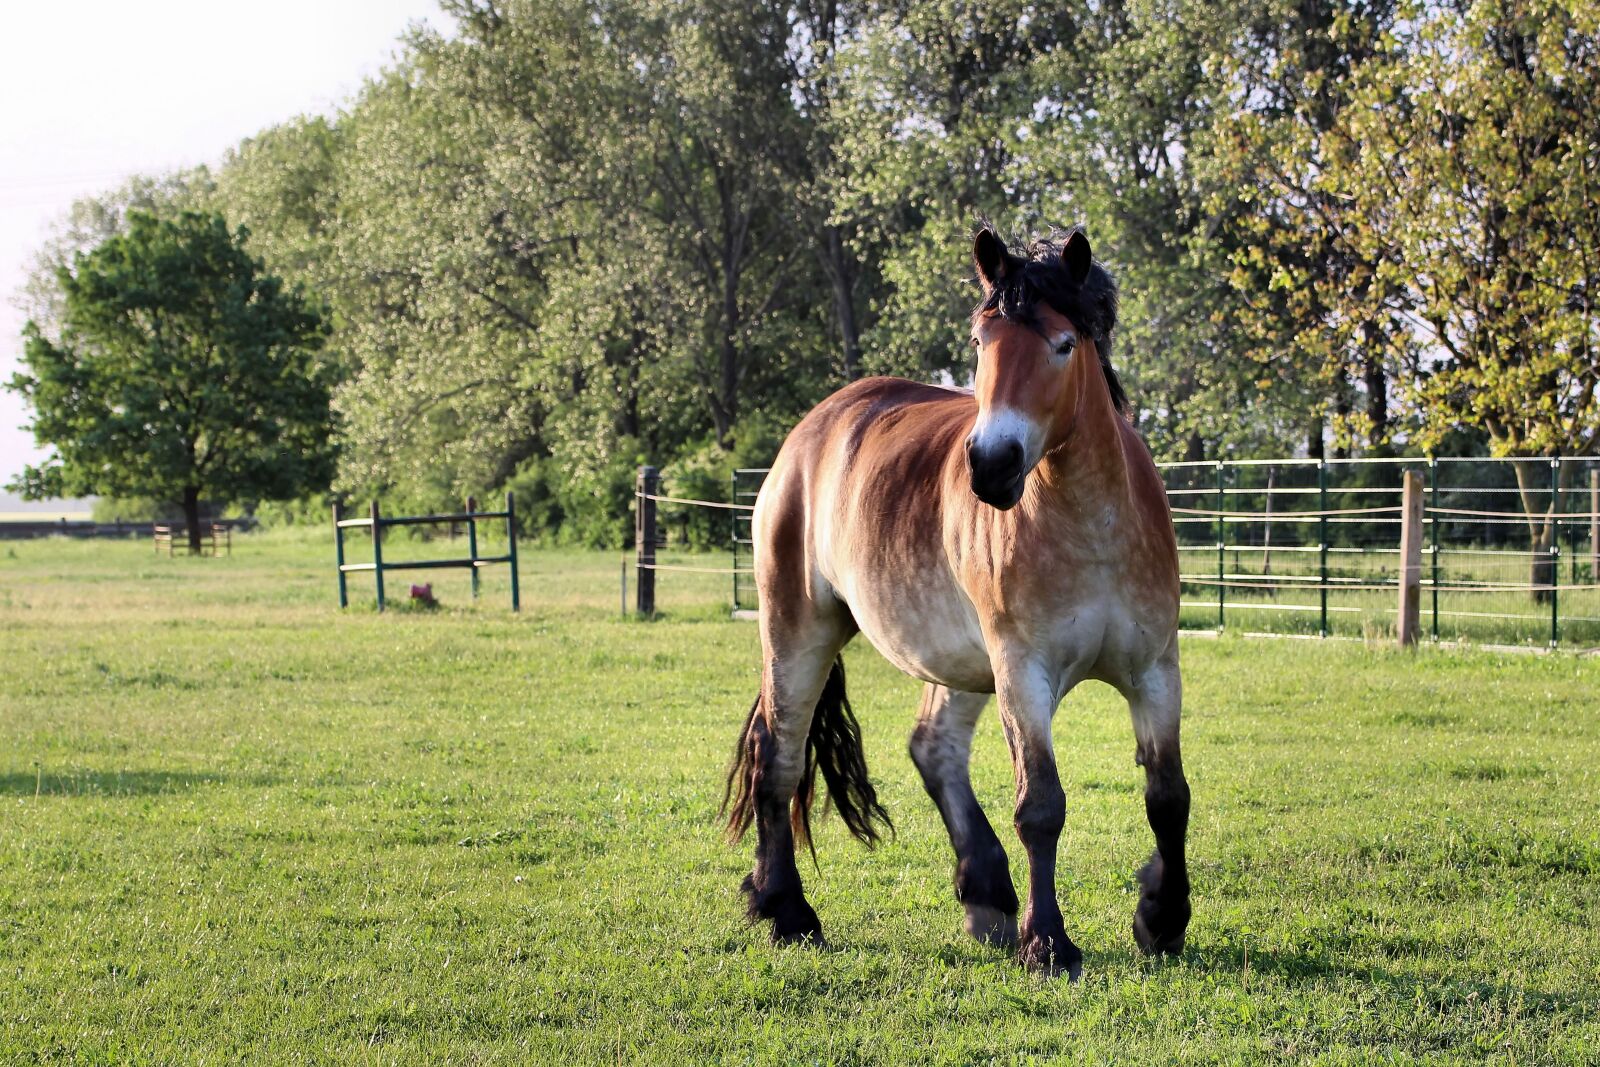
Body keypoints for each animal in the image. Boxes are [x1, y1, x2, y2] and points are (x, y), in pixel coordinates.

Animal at [723, 225, 1189, 979]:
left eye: (1064, 343)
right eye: (980, 341)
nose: (992, 463)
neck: (1092, 524)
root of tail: (812, 430)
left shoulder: (1154, 669)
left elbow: (1168, 796)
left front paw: (1162, 917)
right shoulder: (1022, 671)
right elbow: (1041, 806)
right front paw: (1048, 942)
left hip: (962, 661)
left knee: (932, 748)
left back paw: (987, 893)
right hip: (799, 629)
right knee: (779, 758)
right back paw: (788, 910)